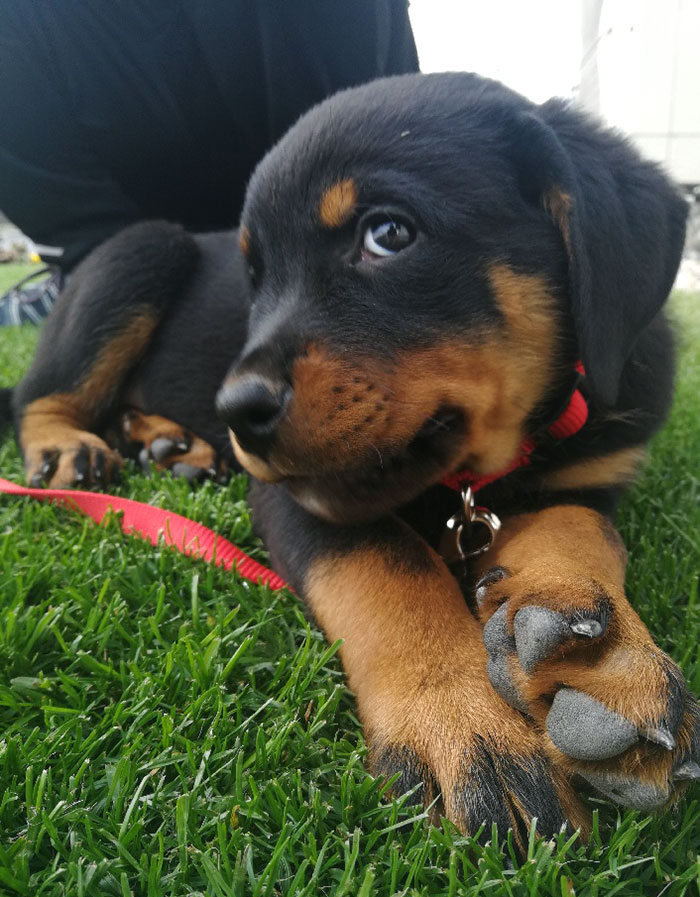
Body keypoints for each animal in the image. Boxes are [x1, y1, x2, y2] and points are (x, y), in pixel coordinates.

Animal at [6, 73, 700, 844]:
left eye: (389, 234)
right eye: (255, 277)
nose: (234, 411)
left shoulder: (589, 480)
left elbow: (581, 531)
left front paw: (597, 654)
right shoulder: (295, 497)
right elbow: (389, 568)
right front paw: (465, 727)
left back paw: (169, 443)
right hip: (140, 251)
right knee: (36, 397)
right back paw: (71, 447)